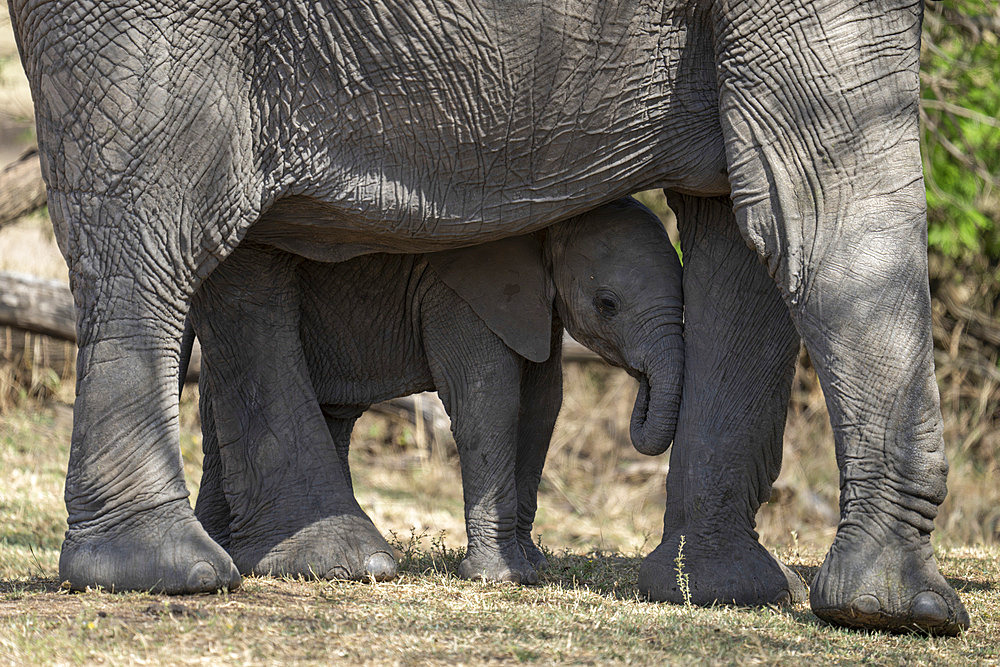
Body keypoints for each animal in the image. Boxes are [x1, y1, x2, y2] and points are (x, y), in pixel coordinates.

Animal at [191, 198, 684, 584]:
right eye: (608, 304)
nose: (641, 382)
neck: (549, 224)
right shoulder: (460, 294)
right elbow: (489, 401)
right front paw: (501, 578)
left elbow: (543, 406)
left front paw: (533, 565)